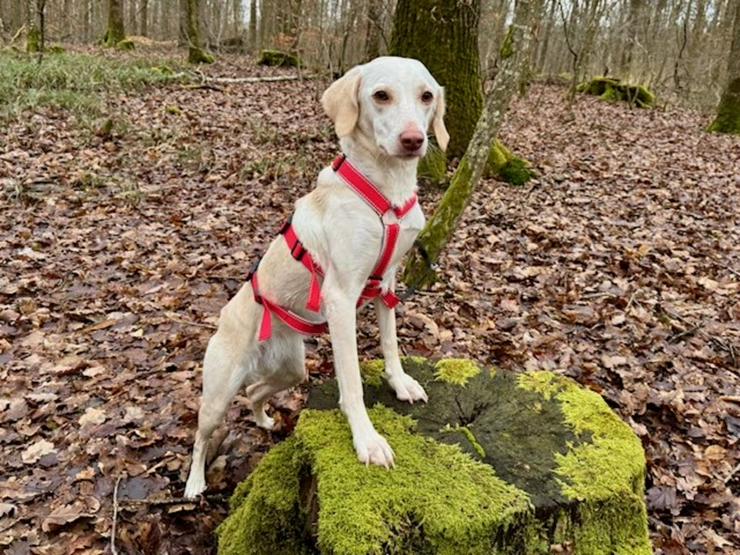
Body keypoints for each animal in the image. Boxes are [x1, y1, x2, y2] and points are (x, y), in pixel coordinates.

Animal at [185, 55, 450, 500]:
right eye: (381, 95)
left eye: (426, 96)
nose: (414, 140)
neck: (387, 190)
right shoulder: (341, 299)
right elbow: (352, 382)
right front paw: (367, 440)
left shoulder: (387, 286)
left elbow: (391, 344)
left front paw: (399, 383)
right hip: (219, 392)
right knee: (202, 436)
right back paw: (194, 483)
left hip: (291, 369)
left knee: (255, 391)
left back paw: (265, 420)